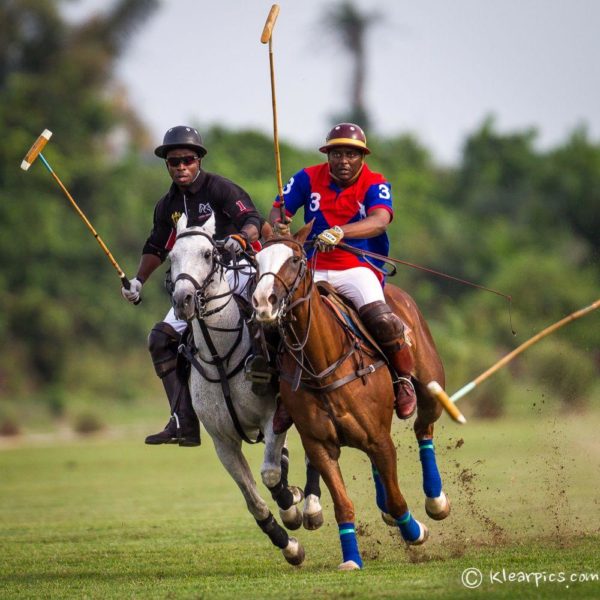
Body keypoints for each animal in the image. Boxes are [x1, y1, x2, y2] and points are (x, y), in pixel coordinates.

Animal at [166, 213, 312, 564]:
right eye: (171, 257)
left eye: (208, 254)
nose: (182, 301)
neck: (220, 355)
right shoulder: (223, 442)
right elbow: (253, 499)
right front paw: (288, 544)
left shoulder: (272, 417)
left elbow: (270, 474)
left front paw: (291, 508)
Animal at [252, 223, 450, 568]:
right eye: (257, 260)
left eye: (295, 259)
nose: (264, 302)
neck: (322, 363)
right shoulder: (319, 445)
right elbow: (343, 505)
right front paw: (352, 559)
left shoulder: (379, 439)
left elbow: (398, 501)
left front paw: (415, 532)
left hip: (429, 387)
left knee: (422, 427)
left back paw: (436, 500)